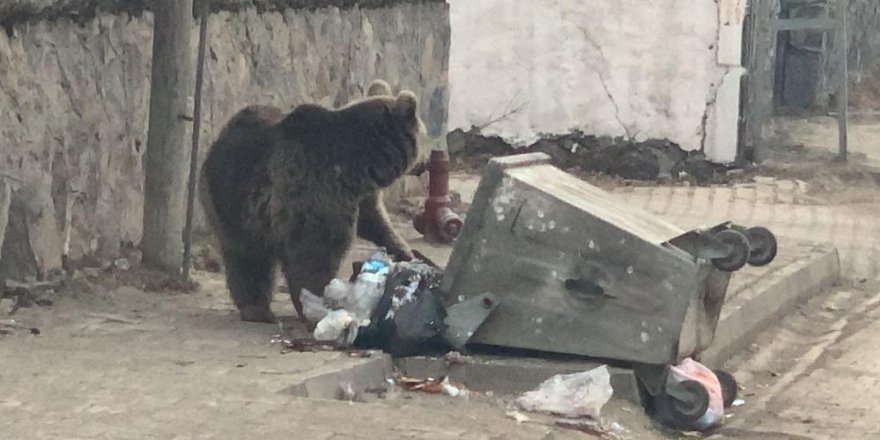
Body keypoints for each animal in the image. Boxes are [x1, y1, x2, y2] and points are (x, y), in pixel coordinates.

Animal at [200, 81, 434, 324]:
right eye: (425, 134)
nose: (426, 162)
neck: (361, 165)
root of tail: (220, 137)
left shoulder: (358, 195)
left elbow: (374, 221)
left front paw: (404, 251)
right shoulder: (316, 189)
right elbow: (316, 253)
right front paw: (319, 302)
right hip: (231, 198)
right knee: (250, 258)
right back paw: (259, 310)